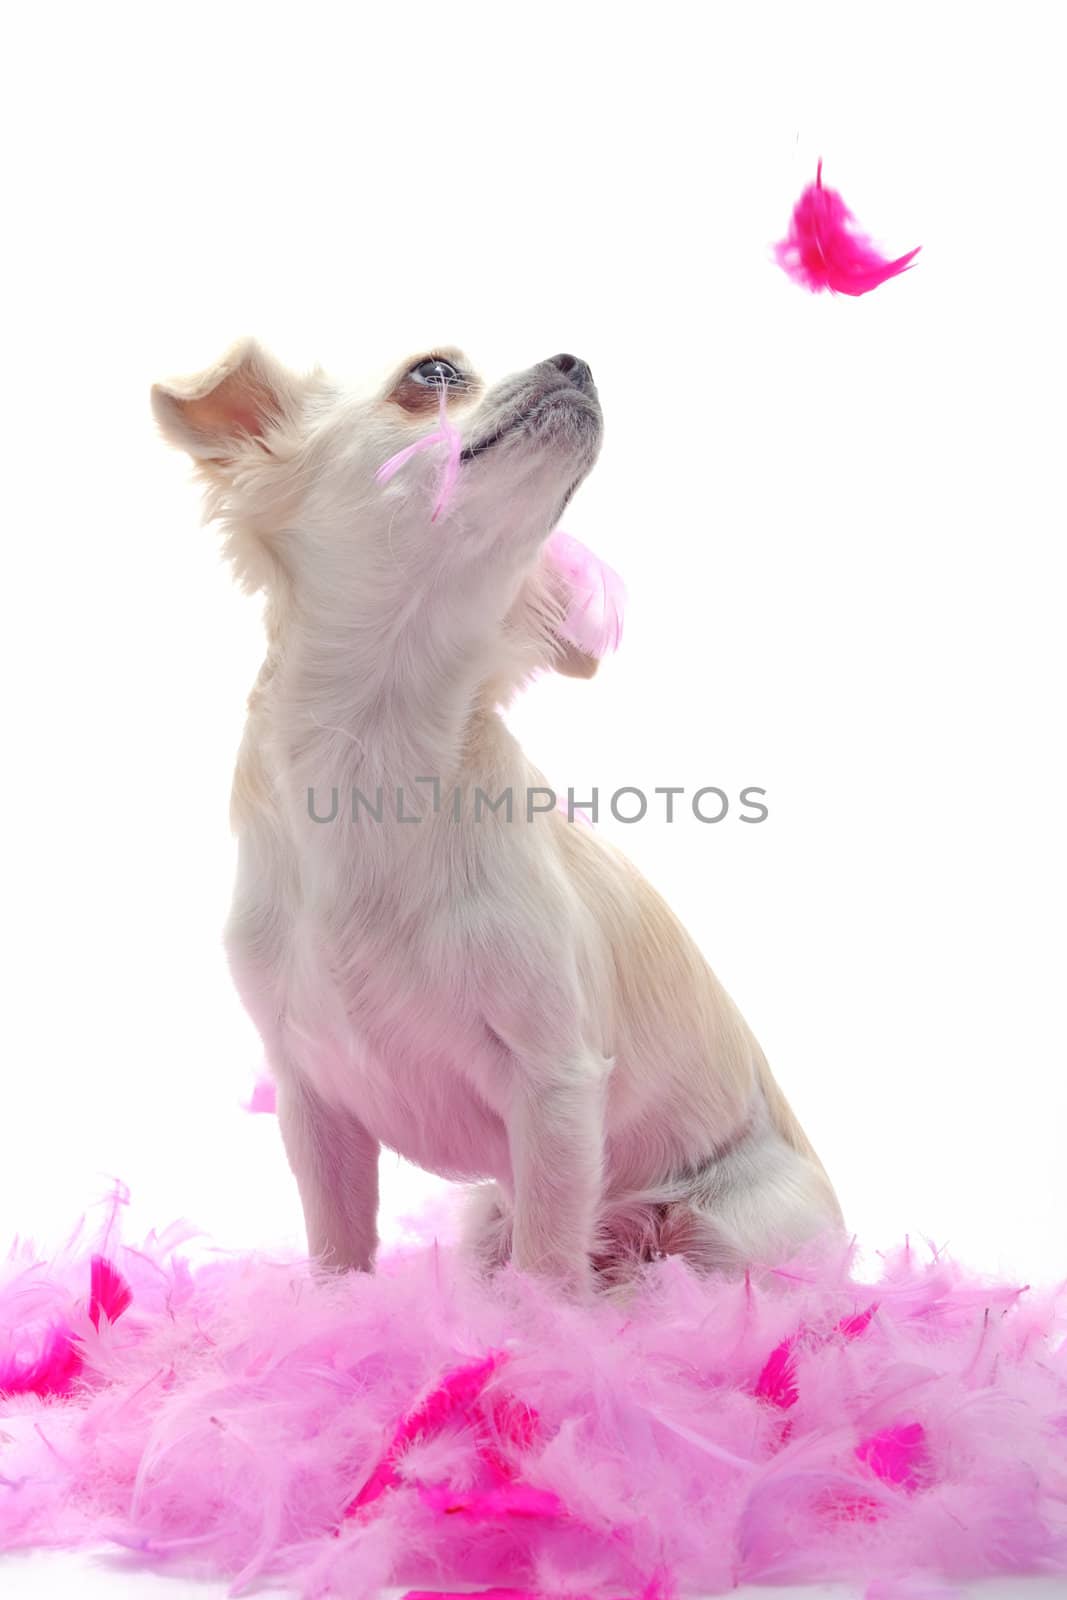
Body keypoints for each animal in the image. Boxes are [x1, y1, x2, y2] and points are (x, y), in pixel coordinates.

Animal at [151, 337, 844, 1286]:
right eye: (434, 374)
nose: (576, 362)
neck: (378, 760)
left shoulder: (556, 1085)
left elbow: (546, 1265)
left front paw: (538, 1326)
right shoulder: (313, 1099)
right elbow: (338, 1247)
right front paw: (339, 1312)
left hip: (732, 1229)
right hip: (486, 1211)